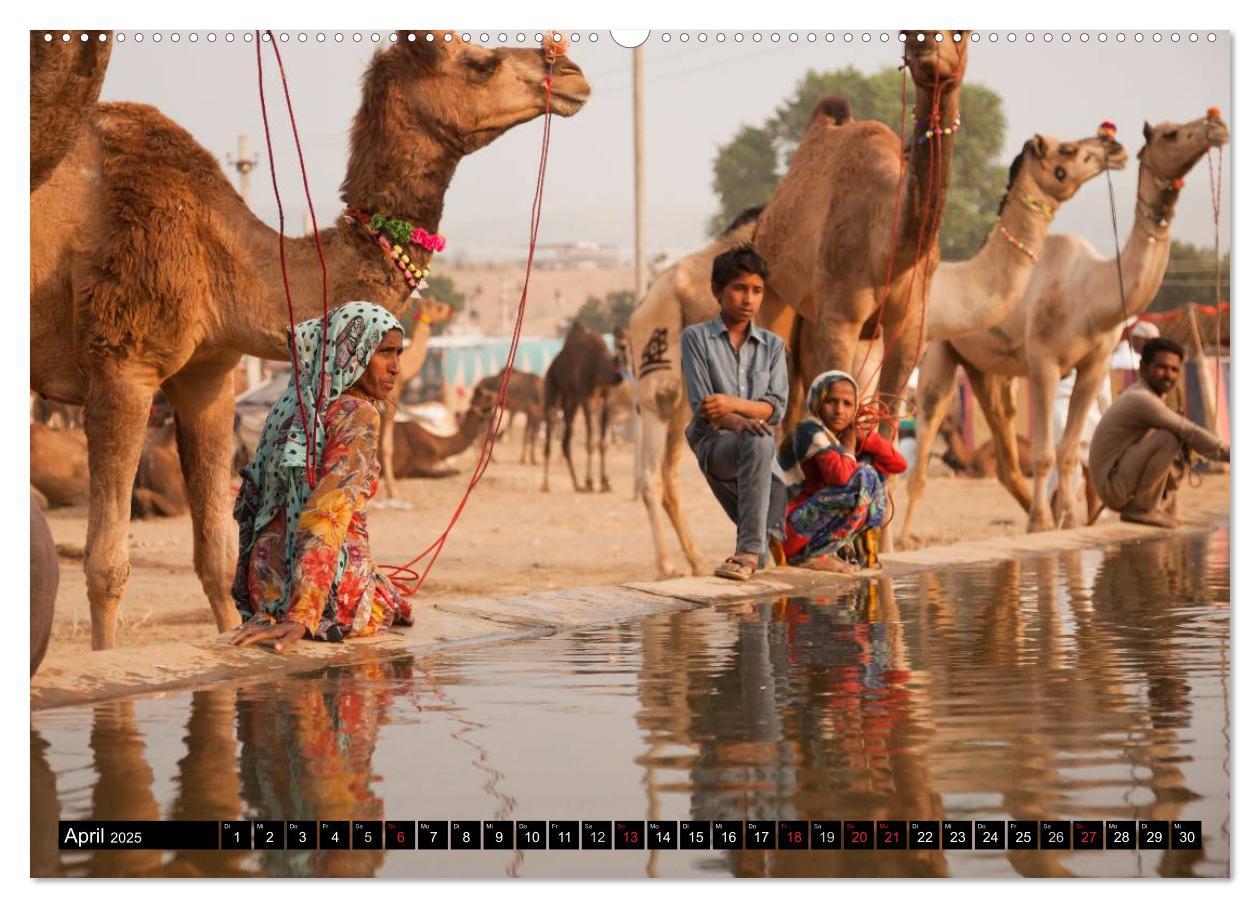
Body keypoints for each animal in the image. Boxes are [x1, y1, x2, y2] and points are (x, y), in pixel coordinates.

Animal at [29, 33, 589, 644]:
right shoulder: (122, 363)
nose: (572, 74)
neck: (222, 252)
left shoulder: (210, 375)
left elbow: (217, 557)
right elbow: (107, 565)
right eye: (479, 62)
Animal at [539, 322, 622, 491]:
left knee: (566, 439)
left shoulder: (607, 399)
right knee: (550, 427)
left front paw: (605, 482)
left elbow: (603, 443)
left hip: (572, 399)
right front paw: (589, 481)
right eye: (619, 343)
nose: (619, 374)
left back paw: (577, 484)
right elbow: (590, 441)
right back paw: (546, 484)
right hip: (552, 386)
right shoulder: (586, 397)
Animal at [622, 207, 756, 574]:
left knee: (668, 475)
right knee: (652, 476)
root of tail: (640, 307)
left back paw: (695, 560)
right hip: (661, 382)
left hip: (684, 397)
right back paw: (667, 564)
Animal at [750, 30, 967, 420]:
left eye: (965, 33)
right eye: (906, 34)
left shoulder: (909, 328)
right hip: (774, 297)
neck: (891, 250)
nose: (925, 48)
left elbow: (887, 416)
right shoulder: (839, 320)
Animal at [902, 112, 1224, 539]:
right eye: (1171, 134)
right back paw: (903, 538)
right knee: (923, 445)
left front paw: (1067, 522)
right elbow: (1043, 454)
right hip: (939, 354)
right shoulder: (1044, 364)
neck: (1091, 290)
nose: (1215, 125)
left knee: (1005, 454)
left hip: (988, 371)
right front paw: (1042, 523)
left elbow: (1070, 452)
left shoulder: (1094, 366)